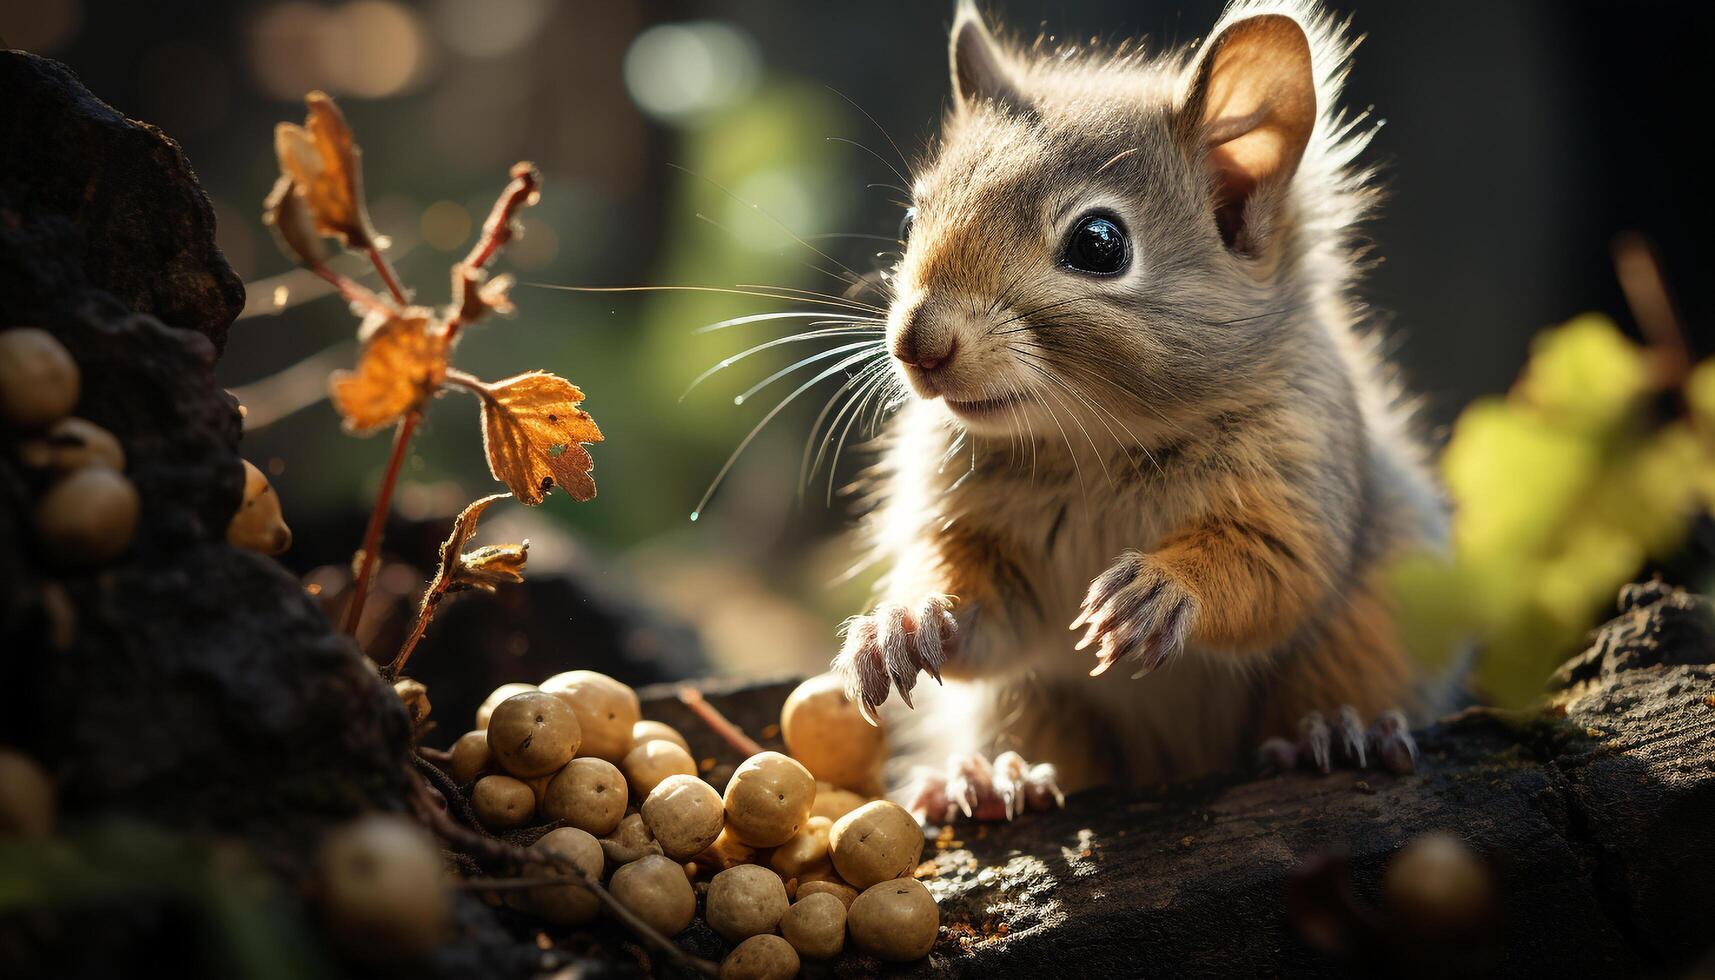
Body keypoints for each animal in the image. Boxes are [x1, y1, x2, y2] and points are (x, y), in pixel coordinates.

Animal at [830, 3, 1447, 823]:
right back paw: (992, 781)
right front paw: (904, 622)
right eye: (911, 215)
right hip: (1039, 708)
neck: (1090, 443)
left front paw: (1158, 591)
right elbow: (986, 618)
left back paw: (1343, 737)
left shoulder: (1301, 469)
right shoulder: (975, 529)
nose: (917, 347)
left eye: (1100, 244)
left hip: (1357, 645)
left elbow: (1276, 571)